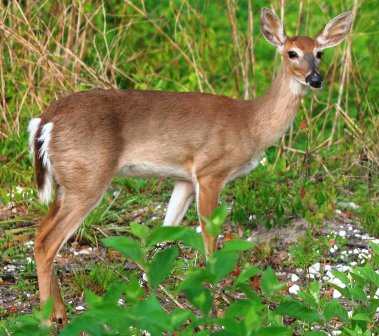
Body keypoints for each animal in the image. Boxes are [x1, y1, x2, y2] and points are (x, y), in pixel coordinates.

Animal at [28, 8, 354, 326]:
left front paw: (151, 299)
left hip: (68, 181)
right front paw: (216, 303)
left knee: (41, 232)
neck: (251, 125)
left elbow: (164, 235)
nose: (315, 79)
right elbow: (210, 244)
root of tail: (45, 121)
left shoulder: (184, 179)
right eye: (291, 53)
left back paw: (59, 310)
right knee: (48, 242)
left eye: (320, 52)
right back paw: (48, 318)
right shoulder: (211, 170)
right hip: (89, 177)